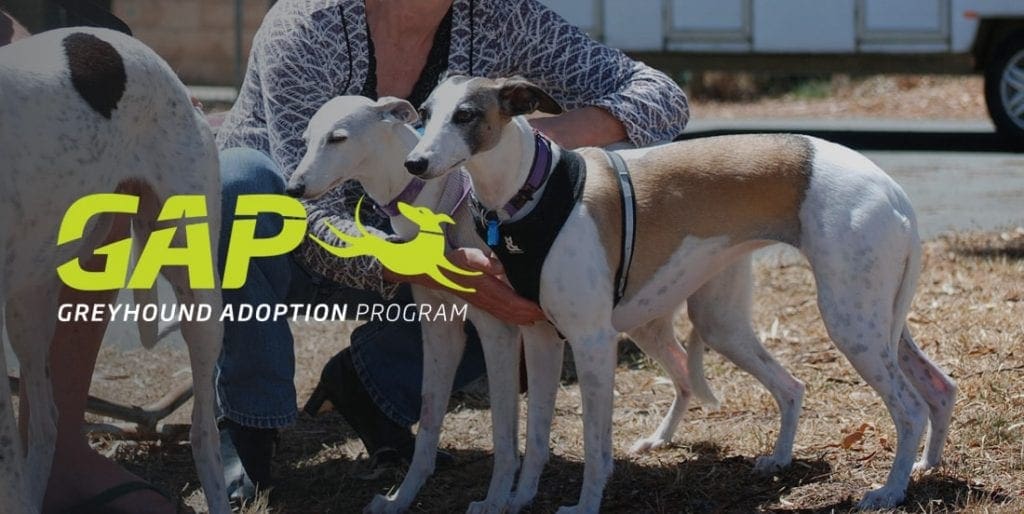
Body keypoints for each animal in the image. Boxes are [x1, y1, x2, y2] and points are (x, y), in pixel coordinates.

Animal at [290, 95, 815, 509]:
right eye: (306, 136)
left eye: (338, 138)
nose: (293, 188)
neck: (441, 195)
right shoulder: (442, 330)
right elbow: (431, 420)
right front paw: (402, 499)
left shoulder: (499, 330)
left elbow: (506, 435)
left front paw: (497, 500)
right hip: (658, 321)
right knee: (686, 373)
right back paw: (659, 439)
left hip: (706, 325)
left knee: (781, 384)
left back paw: (777, 457)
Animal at [401, 75, 958, 509]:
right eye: (424, 114)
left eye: (466, 115)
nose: (414, 164)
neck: (528, 192)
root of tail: (890, 187)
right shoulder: (540, 338)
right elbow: (534, 438)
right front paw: (516, 501)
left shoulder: (591, 342)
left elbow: (595, 447)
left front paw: (584, 506)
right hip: (787, 323)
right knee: (911, 386)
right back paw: (890, 465)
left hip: (849, 322)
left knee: (908, 407)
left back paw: (889, 491)